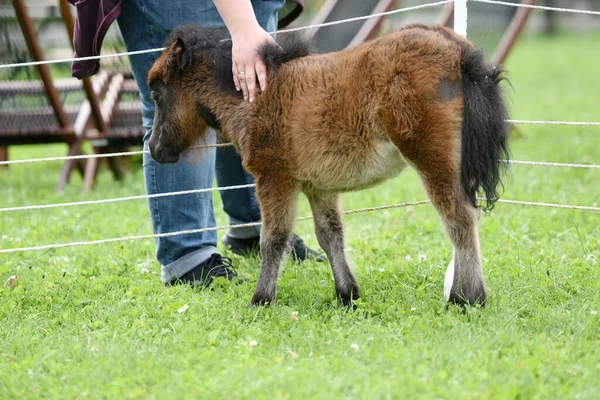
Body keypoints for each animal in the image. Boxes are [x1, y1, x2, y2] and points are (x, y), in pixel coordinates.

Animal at [148, 24, 508, 306]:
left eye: (155, 93)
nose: (154, 149)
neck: (257, 97)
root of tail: (457, 49)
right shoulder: (318, 186)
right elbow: (329, 234)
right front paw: (347, 294)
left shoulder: (274, 178)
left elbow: (273, 239)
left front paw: (261, 299)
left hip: (432, 156)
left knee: (459, 219)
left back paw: (467, 298)